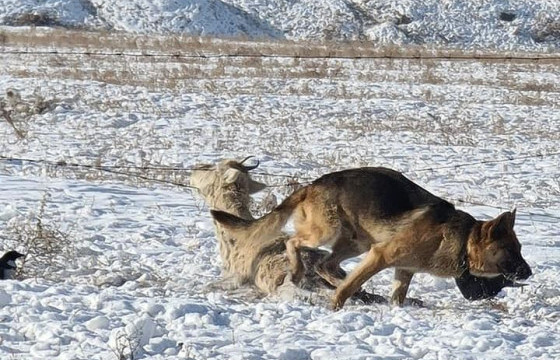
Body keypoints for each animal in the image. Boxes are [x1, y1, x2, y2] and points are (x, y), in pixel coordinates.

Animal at [209, 166, 528, 310]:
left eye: (520, 247)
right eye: (510, 250)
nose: (530, 272)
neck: (463, 241)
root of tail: (312, 185)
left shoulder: (404, 269)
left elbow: (397, 297)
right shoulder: (381, 255)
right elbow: (350, 288)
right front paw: (336, 306)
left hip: (355, 241)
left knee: (326, 264)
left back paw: (332, 276)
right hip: (329, 232)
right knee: (294, 243)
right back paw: (300, 270)